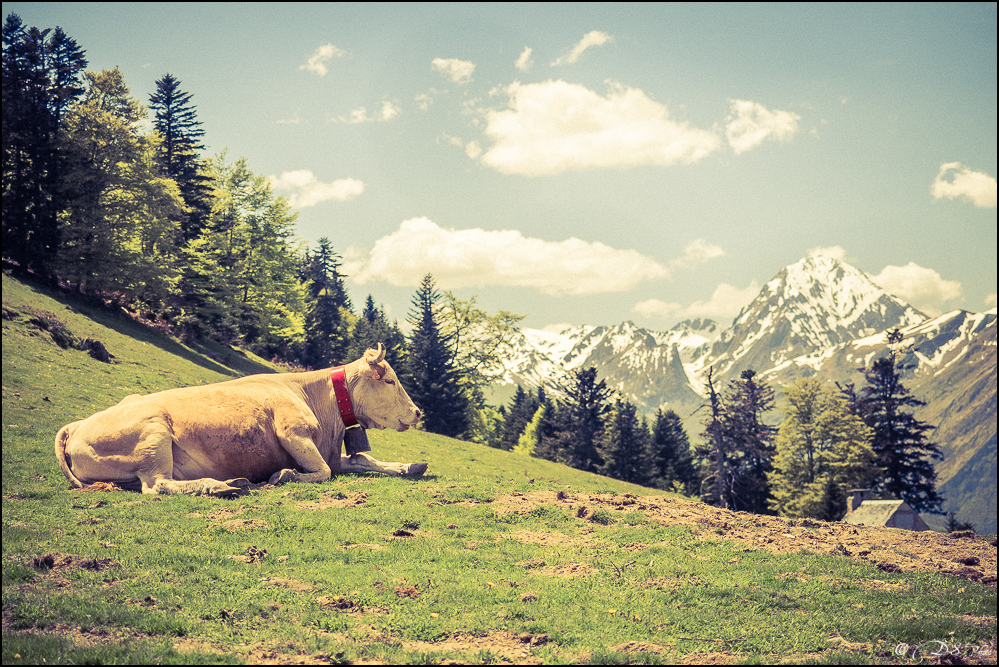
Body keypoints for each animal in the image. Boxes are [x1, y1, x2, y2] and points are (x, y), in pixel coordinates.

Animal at [55, 348, 426, 498]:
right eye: (390, 380)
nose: (419, 412)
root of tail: (76, 426)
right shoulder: (292, 432)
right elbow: (323, 472)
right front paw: (284, 475)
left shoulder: (332, 452)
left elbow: (365, 460)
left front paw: (410, 466)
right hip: (153, 432)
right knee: (157, 485)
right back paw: (219, 486)